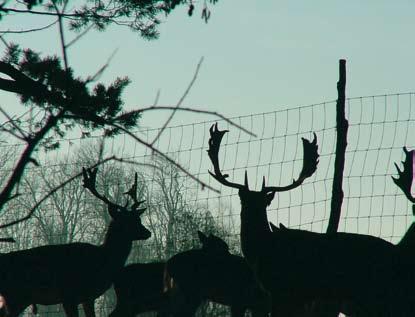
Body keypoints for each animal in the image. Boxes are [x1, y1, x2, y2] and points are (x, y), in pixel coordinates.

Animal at [0, 167, 151, 314]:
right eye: (127, 221)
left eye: (138, 219)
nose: (148, 232)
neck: (103, 261)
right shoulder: (68, 296)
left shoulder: (88, 298)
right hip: (16, 296)